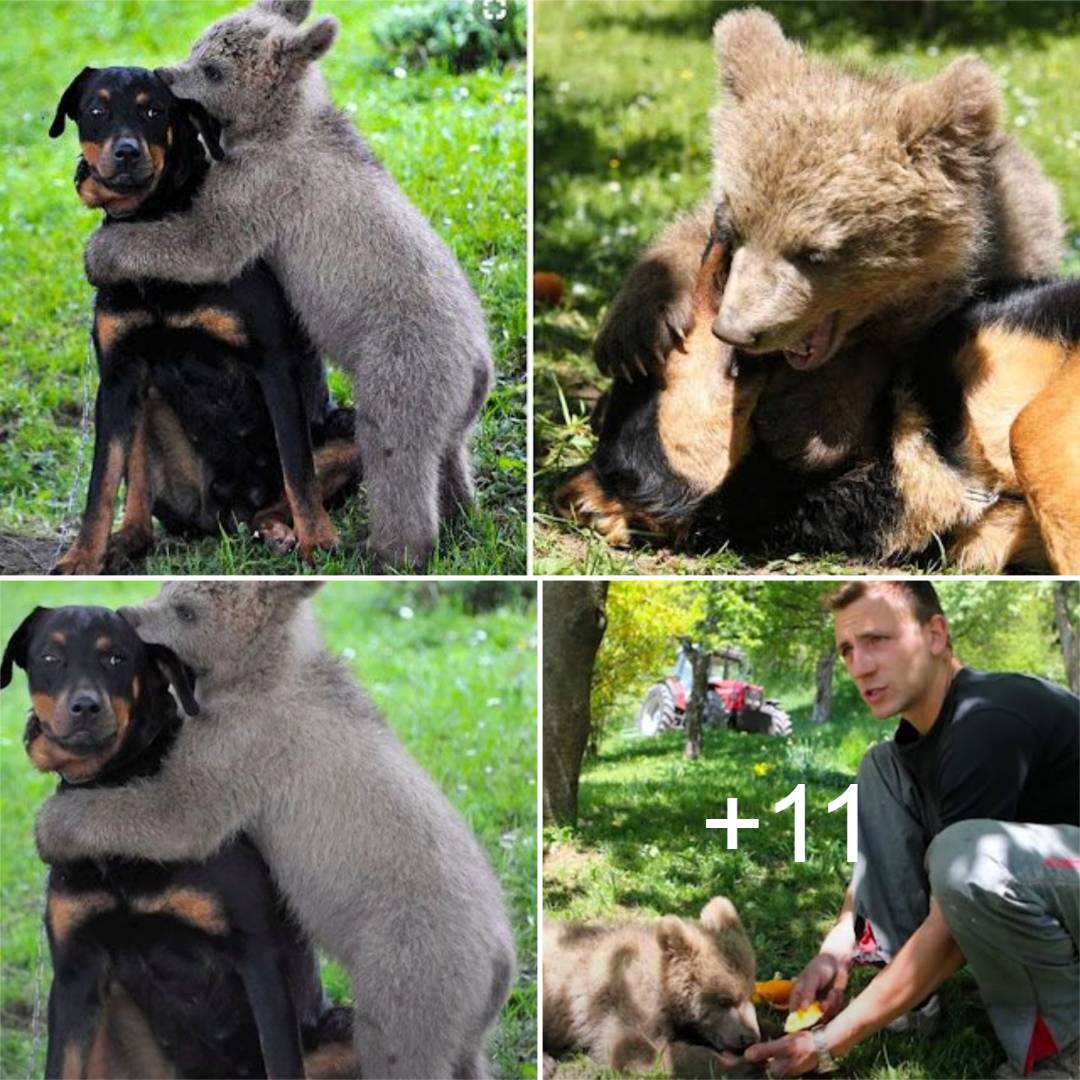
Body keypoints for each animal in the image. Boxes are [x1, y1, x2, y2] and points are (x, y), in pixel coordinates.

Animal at [2, 609, 356, 1080]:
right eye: (49, 656)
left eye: (116, 658)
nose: (85, 706)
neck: (116, 790)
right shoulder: (76, 971)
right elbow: (61, 1064)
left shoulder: (259, 955)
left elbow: (281, 1060)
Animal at [48, 66, 360, 574]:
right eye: (96, 109)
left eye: (153, 110)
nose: (127, 151)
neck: (152, 229)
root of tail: (227, 512)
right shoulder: (117, 377)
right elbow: (101, 483)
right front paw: (81, 558)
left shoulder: (272, 364)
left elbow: (298, 468)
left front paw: (319, 542)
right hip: (149, 407)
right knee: (141, 508)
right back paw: (124, 541)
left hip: (348, 430)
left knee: (280, 496)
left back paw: (279, 531)